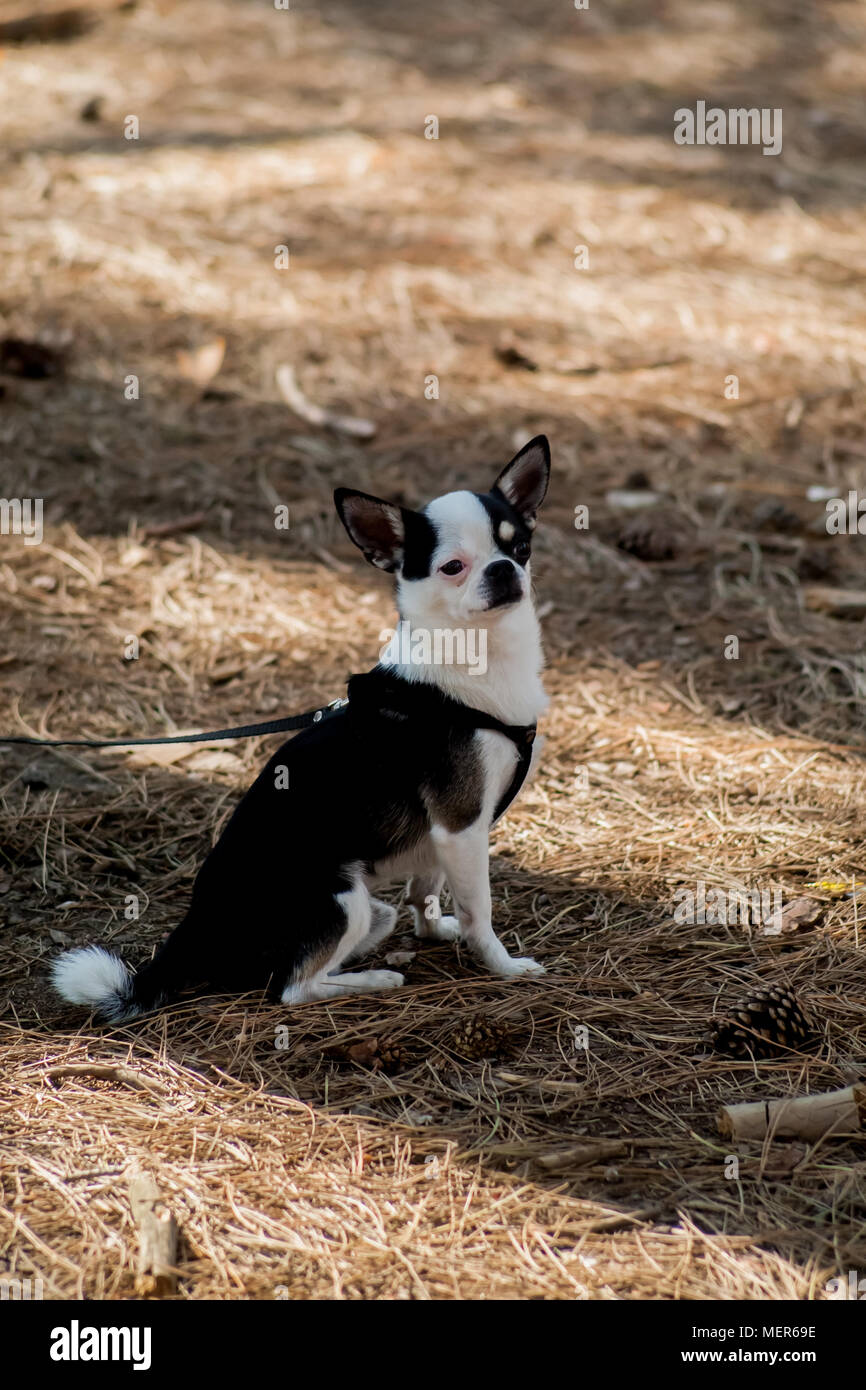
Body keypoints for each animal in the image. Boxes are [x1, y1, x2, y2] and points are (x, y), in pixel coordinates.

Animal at [50, 433, 553, 1023]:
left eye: (520, 546)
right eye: (453, 566)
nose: (503, 570)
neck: (478, 660)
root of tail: (191, 935)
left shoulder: (439, 838)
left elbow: (425, 892)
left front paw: (435, 932)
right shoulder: (462, 827)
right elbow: (480, 910)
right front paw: (502, 965)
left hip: (369, 909)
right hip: (343, 900)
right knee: (290, 988)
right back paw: (373, 980)